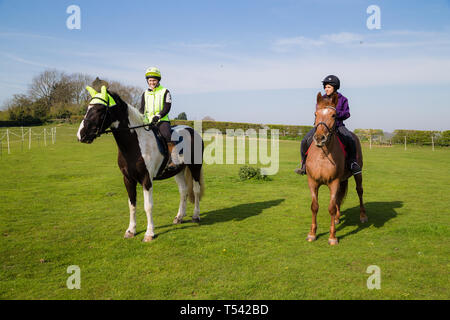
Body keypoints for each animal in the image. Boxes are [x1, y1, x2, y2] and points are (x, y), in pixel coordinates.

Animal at [77, 86, 204, 241]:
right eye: (88, 108)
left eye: (100, 110)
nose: (81, 135)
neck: (135, 144)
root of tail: (192, 131)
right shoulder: (128, 179)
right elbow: (132, 205)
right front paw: (131, 230)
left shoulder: (146, 179)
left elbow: (148, 206)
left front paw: (149, 233)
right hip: (178, 171)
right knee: (183, 191)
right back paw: (179, 217)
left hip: (195, 167)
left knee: (196, 190)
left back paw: (196, 216)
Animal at [304, 92, 368, 245]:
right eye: (315, 114)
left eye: (334, 115)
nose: (319, 138)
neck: (323, 155)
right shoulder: (312, 182)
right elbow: (314, 206)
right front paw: (312, 234)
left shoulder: (334, 182)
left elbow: (331, 208)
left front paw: (332, 237)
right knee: (339, 197)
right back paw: (338, 218)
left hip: (357, 174)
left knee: (359, 191)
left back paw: (363, 216)